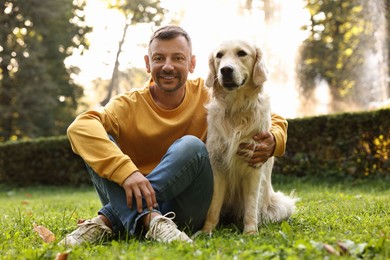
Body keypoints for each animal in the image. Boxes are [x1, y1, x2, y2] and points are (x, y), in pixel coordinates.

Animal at [203, 39, 298, 235]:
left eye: (242, 53)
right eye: (219, 55)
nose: (225, 70)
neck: (236, 110)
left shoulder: (254, 166)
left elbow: (251, 205)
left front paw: (250, 232)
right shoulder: (217, 165)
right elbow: (213, 206)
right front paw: (206, 231)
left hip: (282, 205)